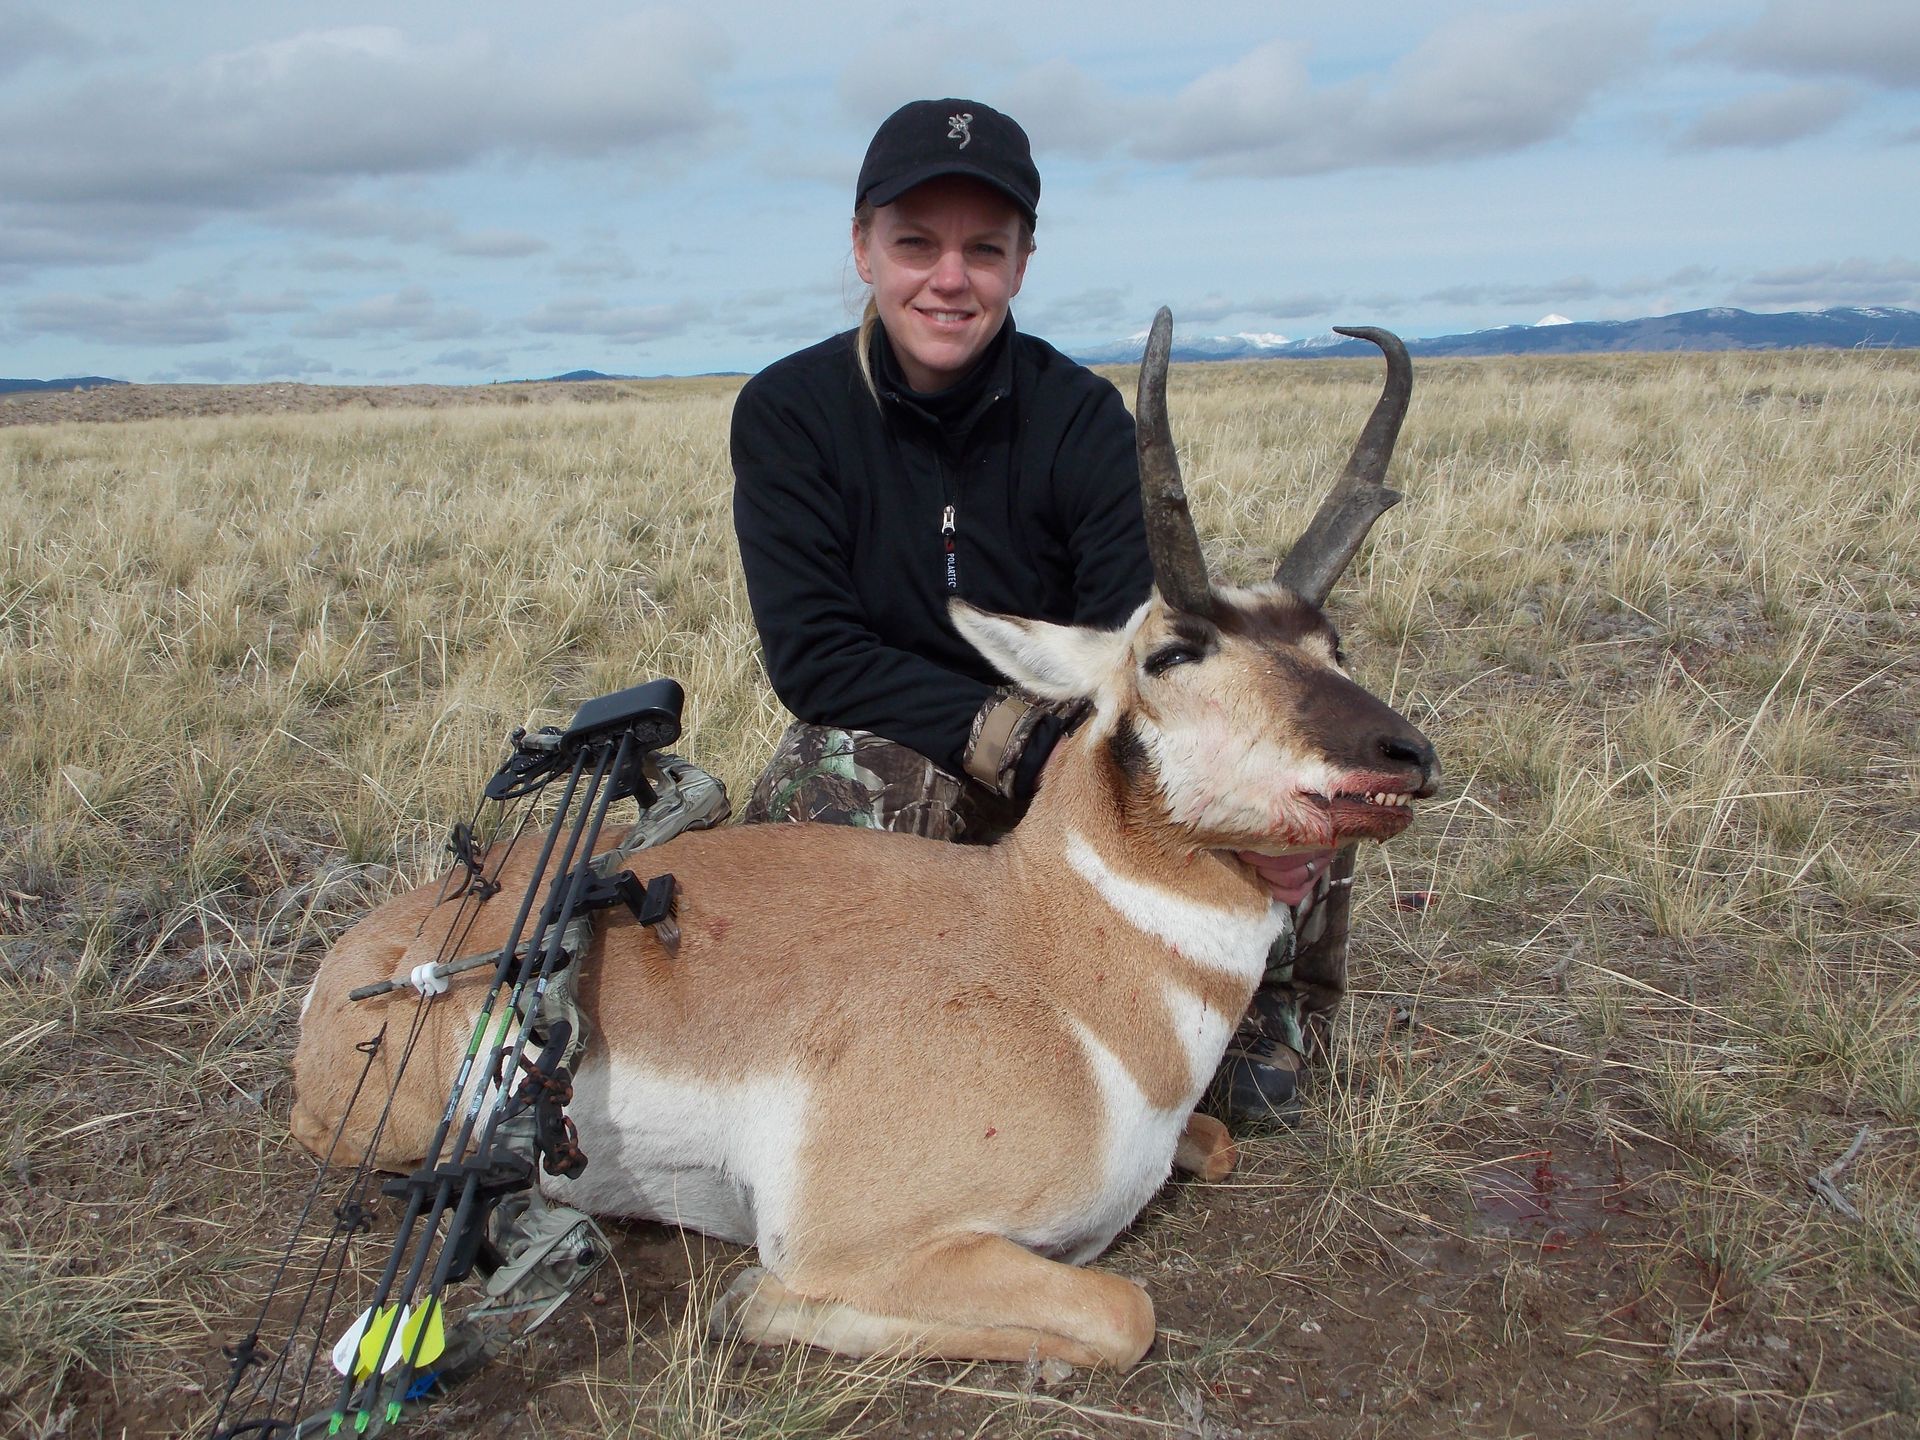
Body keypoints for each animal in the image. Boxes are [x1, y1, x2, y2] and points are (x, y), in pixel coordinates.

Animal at [291, 310, 1439, 1370]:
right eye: (1170, 653)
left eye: (1330, 641)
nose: (1405, 753)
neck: (1053, 953)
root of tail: (375, 952)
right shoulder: (859, 1243)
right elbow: (1124, 1312)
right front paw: (755, 1303)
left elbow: (1219, 1145)